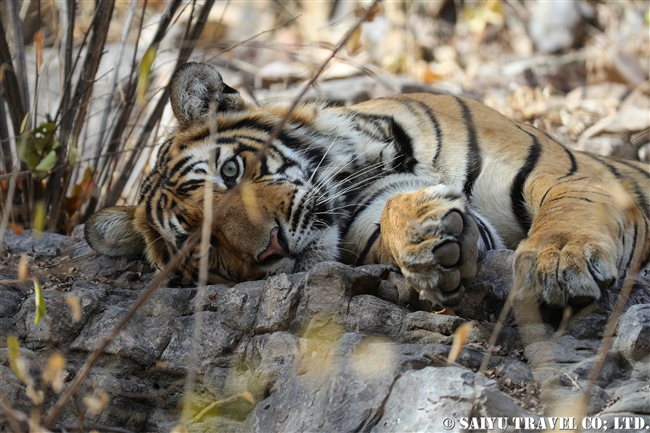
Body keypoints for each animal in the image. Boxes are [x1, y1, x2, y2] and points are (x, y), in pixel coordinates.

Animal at [83, 62, 644, 308]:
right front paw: (426, 240)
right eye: (198, 251)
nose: (272, 248)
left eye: (231, 172)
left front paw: (559, 263)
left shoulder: (567, 171)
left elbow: (569, 208)